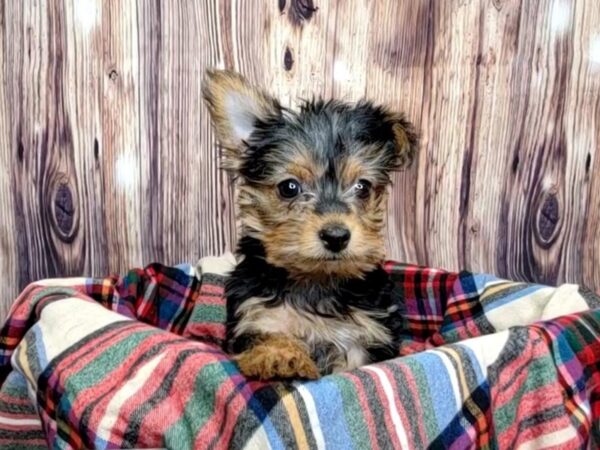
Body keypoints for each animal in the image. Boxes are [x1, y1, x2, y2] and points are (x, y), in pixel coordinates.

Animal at [203, 70, 418, 380]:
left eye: (363, 187)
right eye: (289, 187)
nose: (336, 236)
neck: (315, 281)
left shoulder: (365, 335)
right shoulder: (256, 315)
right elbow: (270, 334)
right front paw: (281, 358)